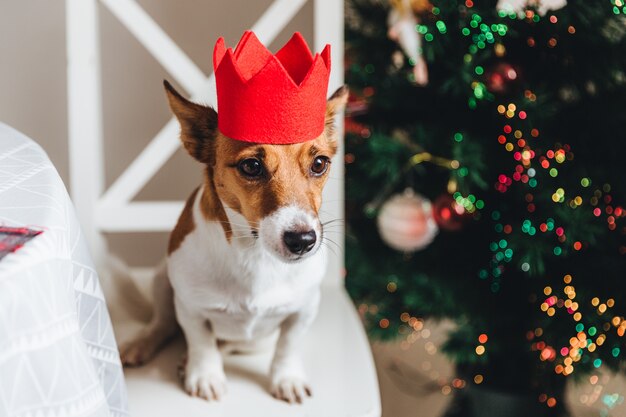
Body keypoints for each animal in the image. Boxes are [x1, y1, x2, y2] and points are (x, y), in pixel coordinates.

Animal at [119, 74, 346, 400]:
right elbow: (201, 341)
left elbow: (287, 345)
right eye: (251, 166)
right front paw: (205, 375)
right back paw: (142, 343)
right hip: (163, 279)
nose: (303, 241)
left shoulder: (303, 310)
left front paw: (286, 378)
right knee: (162, 324)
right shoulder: (191, 307)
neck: (254, 252)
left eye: (319, 164)